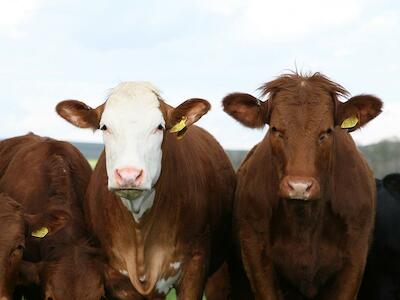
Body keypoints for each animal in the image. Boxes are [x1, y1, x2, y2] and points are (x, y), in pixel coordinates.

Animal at [222, 71, 382, 298]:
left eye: (326, 132)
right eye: (275, 129)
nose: (299, 186)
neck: (305, 221)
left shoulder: (355, 258)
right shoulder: (256, 256)